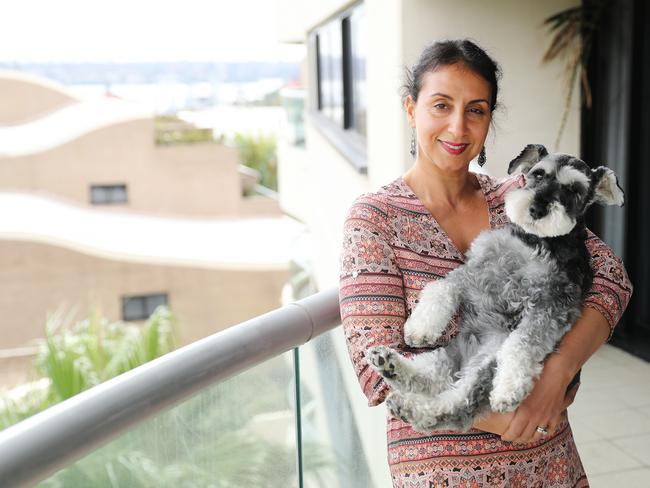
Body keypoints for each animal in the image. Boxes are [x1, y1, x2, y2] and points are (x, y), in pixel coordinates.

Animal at [364, 144, 624, 430]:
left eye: (574, 190)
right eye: (538, 174)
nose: (537, 209)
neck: (536, 241)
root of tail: (470, 355)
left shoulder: (552, 305)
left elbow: (522, 344)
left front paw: (508, 390)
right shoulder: (474, 270)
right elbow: (443, 288)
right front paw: (421, 328)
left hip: (486, 366)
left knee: (457, 404)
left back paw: (412, 407)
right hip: (456, 349)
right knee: (433, 372)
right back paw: (390, 365)